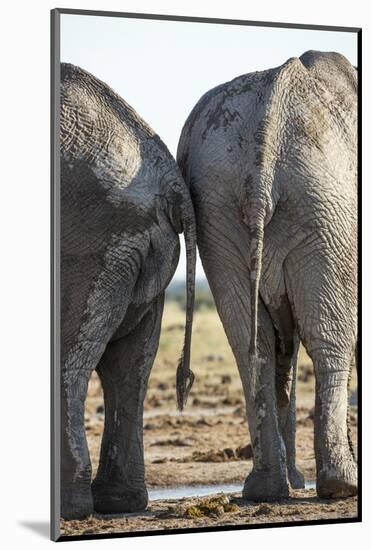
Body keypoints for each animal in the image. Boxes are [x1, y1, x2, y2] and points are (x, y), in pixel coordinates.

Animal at [59, 62, 196, 520]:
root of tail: (169, 180)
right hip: (138, 245)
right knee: (130, 366)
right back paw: (120, 503)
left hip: (91, 240)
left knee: (71, 364)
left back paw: (73, 507)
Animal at [179, 49, 358, 502]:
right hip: (326, 206)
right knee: (329, 340)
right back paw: (341, 486)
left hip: (219, 208)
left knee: (251, 344)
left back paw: (266, 489)